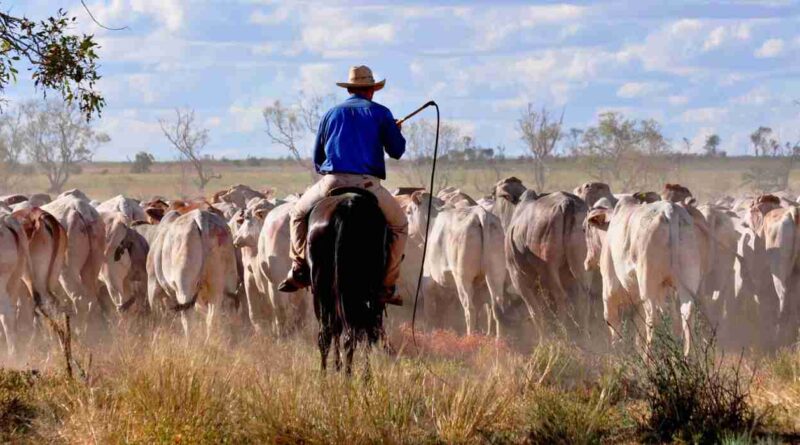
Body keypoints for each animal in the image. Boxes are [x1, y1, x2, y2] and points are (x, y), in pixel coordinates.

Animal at [306, 186, 388, 372]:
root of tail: (347, 207)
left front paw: (338, 365)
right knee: (355, 333)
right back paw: (354, 374)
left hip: (322, 290)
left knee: (328, 334)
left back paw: (327, 373)